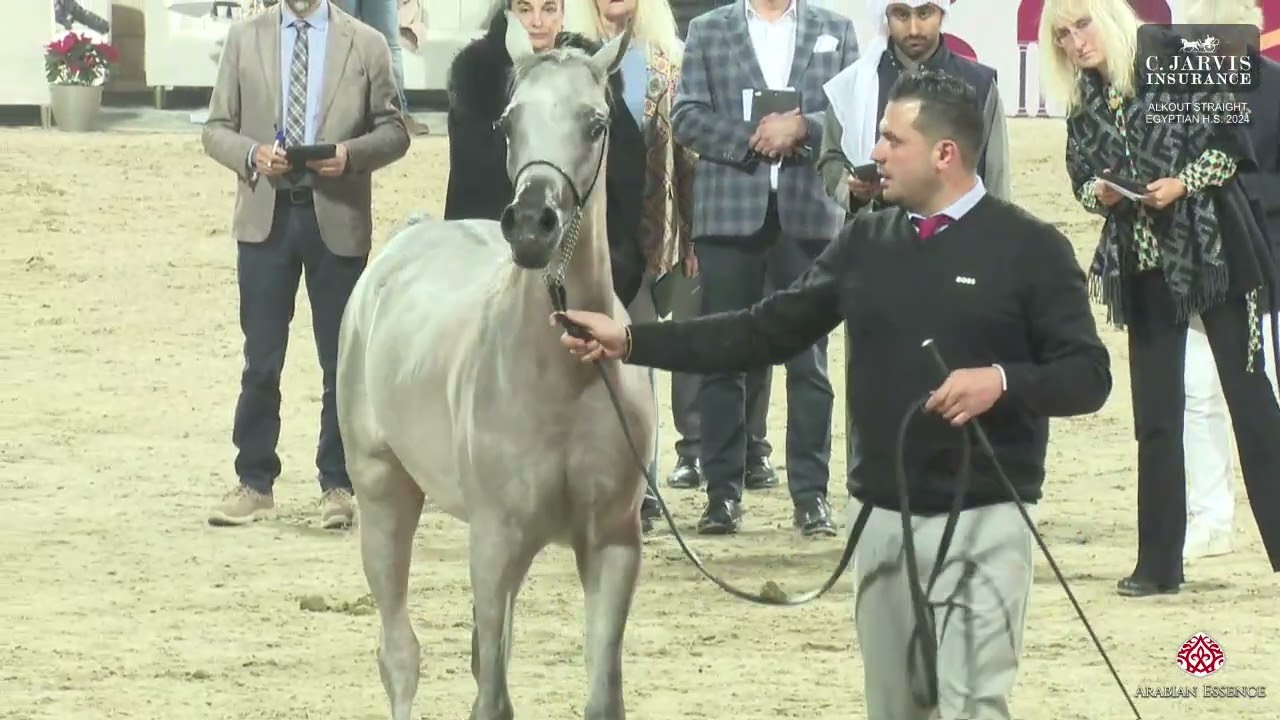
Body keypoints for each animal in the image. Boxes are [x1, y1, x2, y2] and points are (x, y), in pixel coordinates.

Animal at [335, 16, 654, 720]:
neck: (561, 378)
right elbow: (491, 701)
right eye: (509, 122)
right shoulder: (494, 541)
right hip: (384, 493)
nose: (533, 224)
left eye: (596, 123)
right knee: (400, 655)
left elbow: (598, 696)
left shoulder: (613, 545)